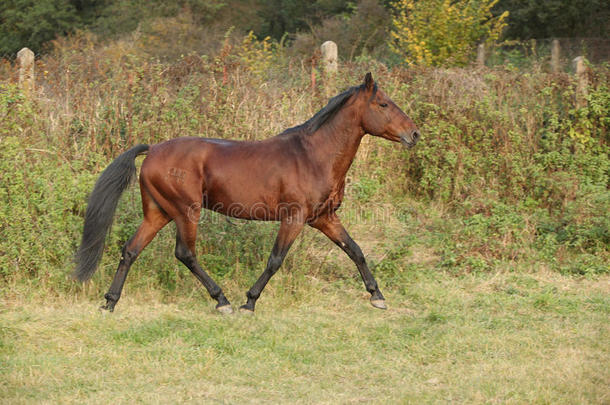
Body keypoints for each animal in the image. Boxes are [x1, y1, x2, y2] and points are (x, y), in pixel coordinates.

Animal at [75, 72, 418, 312]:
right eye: (383, 104)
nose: (414, 134)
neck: (314, 155)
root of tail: (153, 150)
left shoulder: (324, 218)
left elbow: (355, 250)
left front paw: (377, 296)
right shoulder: (294, 218)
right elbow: (275, 260)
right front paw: (249, 302)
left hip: (158, 213)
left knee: (131, 250)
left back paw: (110, 302)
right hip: (186, 212)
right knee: (185, 253)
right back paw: (222, 300)